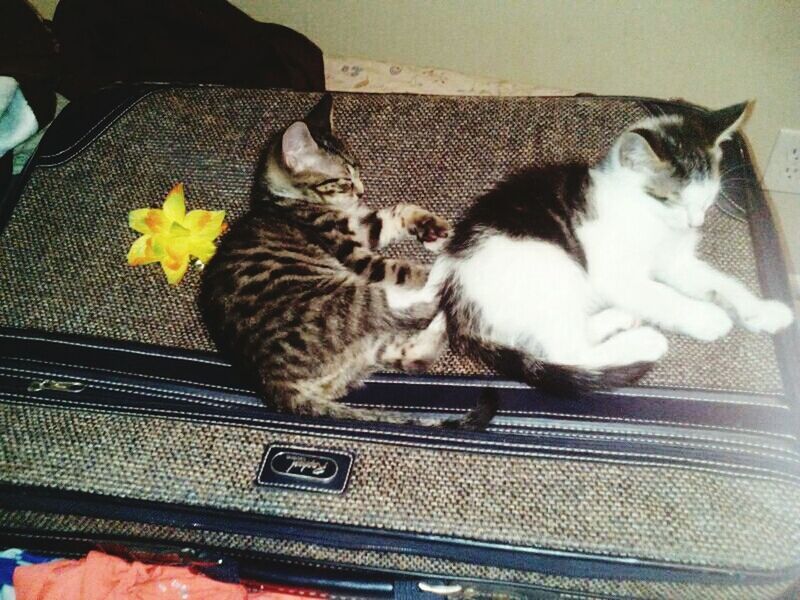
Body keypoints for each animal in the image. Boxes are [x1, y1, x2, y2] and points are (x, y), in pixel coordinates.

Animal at [200, 95, 494, 426]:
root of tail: (273, 383)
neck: (282, 201)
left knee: (415, 354)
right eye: (343, 181)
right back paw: (460, 268)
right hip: (341, 299)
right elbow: (399, 268)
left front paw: (433, 228)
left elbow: (398, 211)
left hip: (366, 347)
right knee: (407, 298)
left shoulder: (366, 228)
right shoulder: (351, 250)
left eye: (358, 171)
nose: (361, 192)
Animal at [428, 103, 792, 394]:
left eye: (708, 200)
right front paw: (706, 317)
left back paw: (617, 318)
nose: (695, 223)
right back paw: (645, 341)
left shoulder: (676, 261)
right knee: (569, 352)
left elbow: (722, 283)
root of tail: (457, 308)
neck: (647, 216)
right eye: (671, 200)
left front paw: (763, 311)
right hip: (553, 266)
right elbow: (663, 295)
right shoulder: (616, 274)